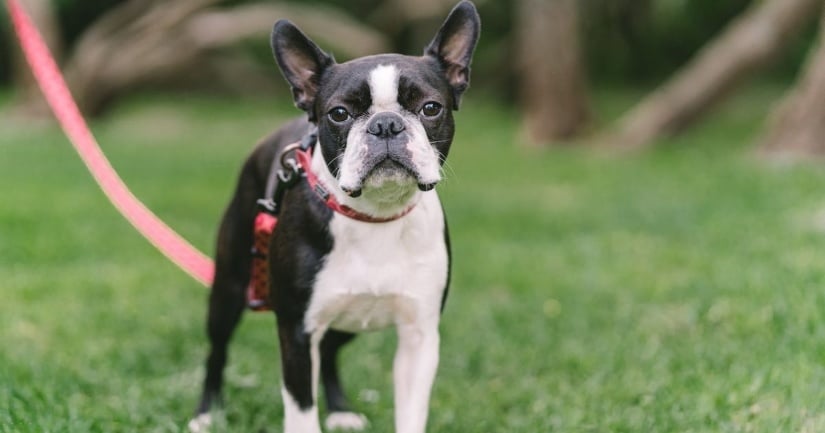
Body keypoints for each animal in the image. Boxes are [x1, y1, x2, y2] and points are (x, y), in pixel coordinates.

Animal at [189, 1, 480, 430]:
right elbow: (301, 408)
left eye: (430, 108)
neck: (375, 216)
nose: (386, 124)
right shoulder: (297, 331)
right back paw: (206, 413)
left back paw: (341, 411)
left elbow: (411, 412)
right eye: (339, 114)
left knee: (329, 352)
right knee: (217, 351)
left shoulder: (419, 335)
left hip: (347, 316)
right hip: (230, 286)